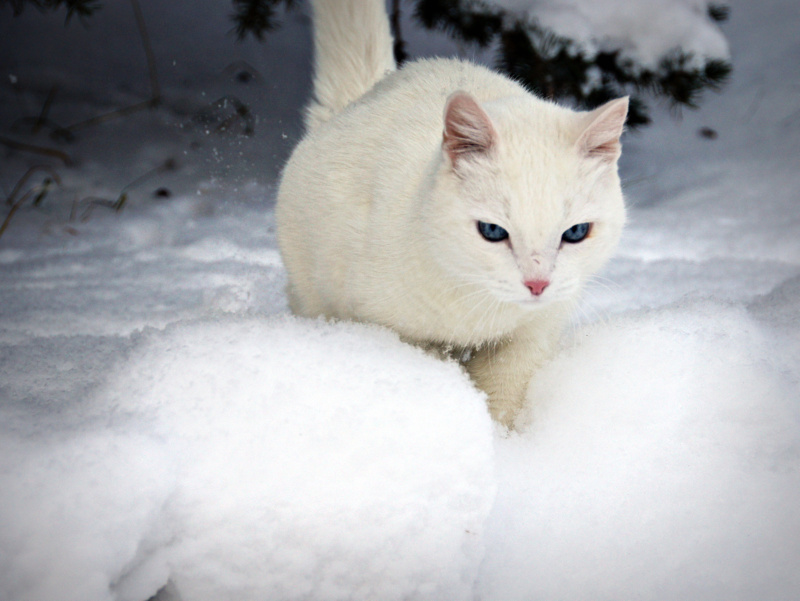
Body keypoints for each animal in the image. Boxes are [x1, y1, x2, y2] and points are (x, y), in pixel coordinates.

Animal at [278, 0, 628, 426]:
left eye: (575, 233)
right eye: (492, 231)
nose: (537, 284)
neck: (477, 311)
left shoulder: (534, 334)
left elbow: (505, 397)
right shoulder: (392, 327)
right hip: (311, 291)